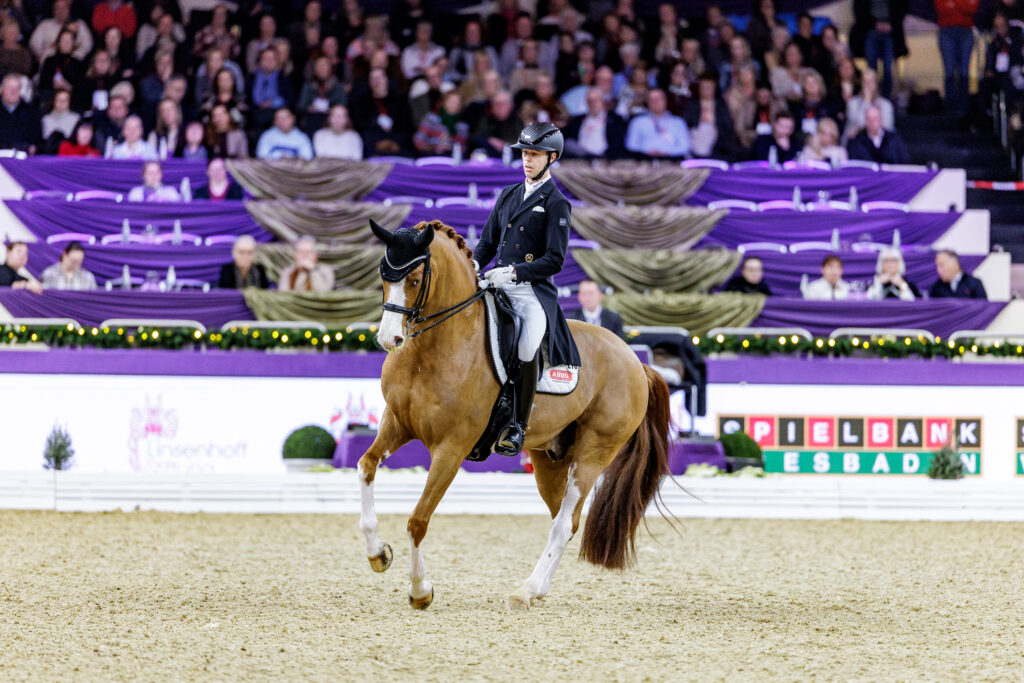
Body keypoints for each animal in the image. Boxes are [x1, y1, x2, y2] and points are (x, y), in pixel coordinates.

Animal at [357, 219, 670, 610]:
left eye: (414, 279)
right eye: (383, 276)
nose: (389, 340)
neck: (433, 350)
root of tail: (635, 360)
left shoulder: (452, 447)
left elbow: (418, 520)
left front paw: (420, 590)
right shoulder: (397, 423)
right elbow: (366, 466)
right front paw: (377, 554)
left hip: (593, 453)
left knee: (564, 522)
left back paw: (525, 590)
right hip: (549, 457)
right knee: (565, 519)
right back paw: (537, 589)